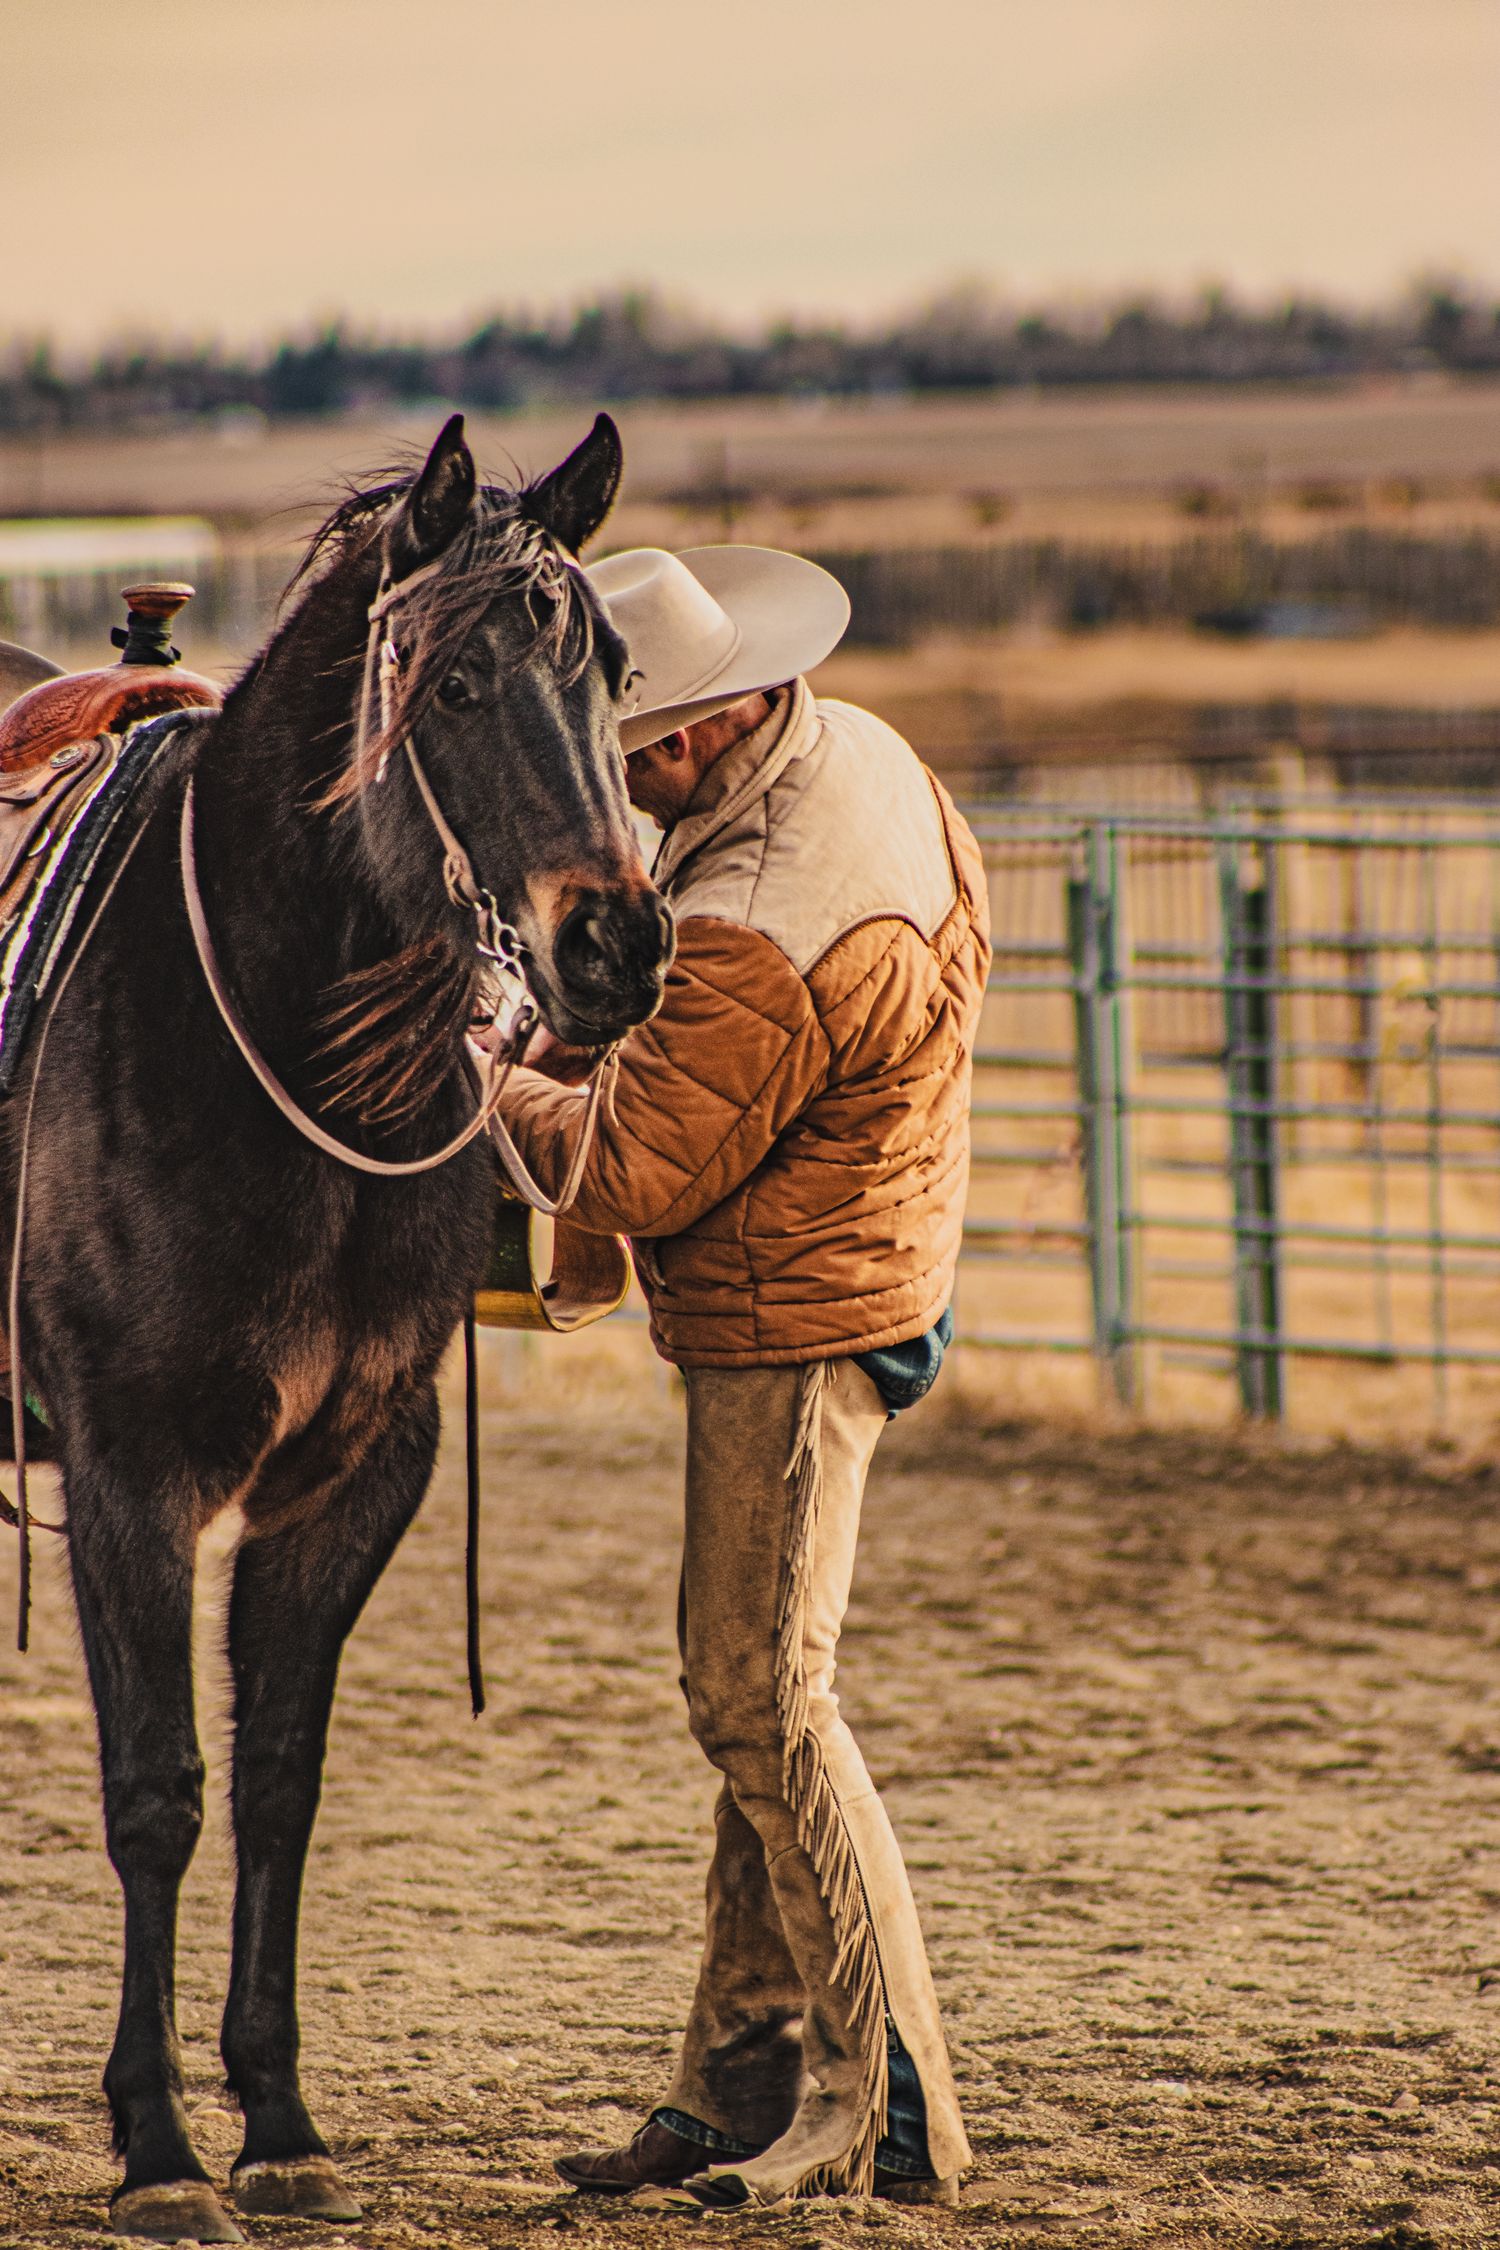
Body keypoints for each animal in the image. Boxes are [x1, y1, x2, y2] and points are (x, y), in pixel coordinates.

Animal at [2, 413, 672, 2242]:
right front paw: (160, 2147)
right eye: (451, 683)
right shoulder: (133, 1476)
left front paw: (281, 2122)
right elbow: (159, 1791)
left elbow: (279, 1784)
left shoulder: (355, 1473)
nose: (617, 944)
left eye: (613, 667)